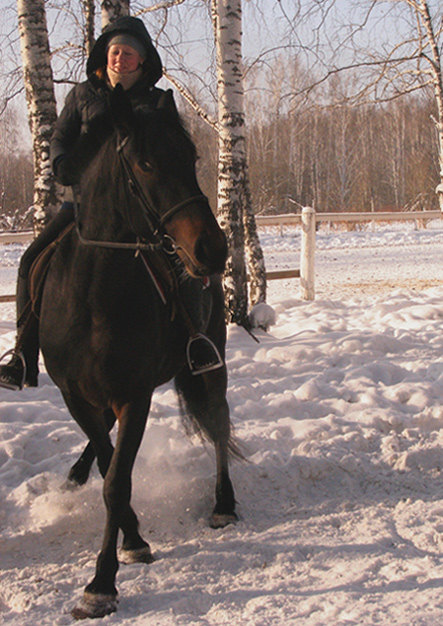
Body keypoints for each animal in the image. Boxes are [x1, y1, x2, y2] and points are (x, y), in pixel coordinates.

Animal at [38, 85, 239, 616]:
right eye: (146, 163)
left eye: (191, 157)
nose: (212, 249)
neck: (92, 296)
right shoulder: (76, 396)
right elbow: (110, 464)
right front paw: (131, 539)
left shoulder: (134, 395)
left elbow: (117, 480)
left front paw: (101, 584)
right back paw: (75, 474)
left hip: (210, 366)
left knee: (218, 423)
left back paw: (223, 504)